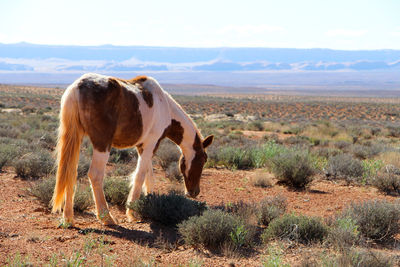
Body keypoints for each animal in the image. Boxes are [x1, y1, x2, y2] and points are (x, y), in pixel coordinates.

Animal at [52, 73, 214, 226]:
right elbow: (140, 176)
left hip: (76, 138)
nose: (194, 192)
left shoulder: (143, 147)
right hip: (102, 144)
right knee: (95, 175)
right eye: (203, 160)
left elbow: (149, 175)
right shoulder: (150, 144)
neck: (165, 108)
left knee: (70, 173)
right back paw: (107, 218)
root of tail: (78, 86)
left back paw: (68, 218)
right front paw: (132, 213)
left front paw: (149, 201)